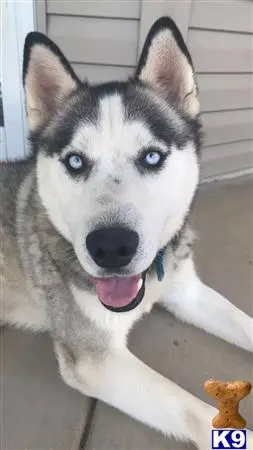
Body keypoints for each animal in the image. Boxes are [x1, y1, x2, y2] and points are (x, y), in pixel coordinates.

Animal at [0, 16, 252, 446]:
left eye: (151, 156)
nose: (111, 248)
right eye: (75, 161)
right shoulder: (97, 361)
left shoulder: (187, 292)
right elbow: (195, 411)